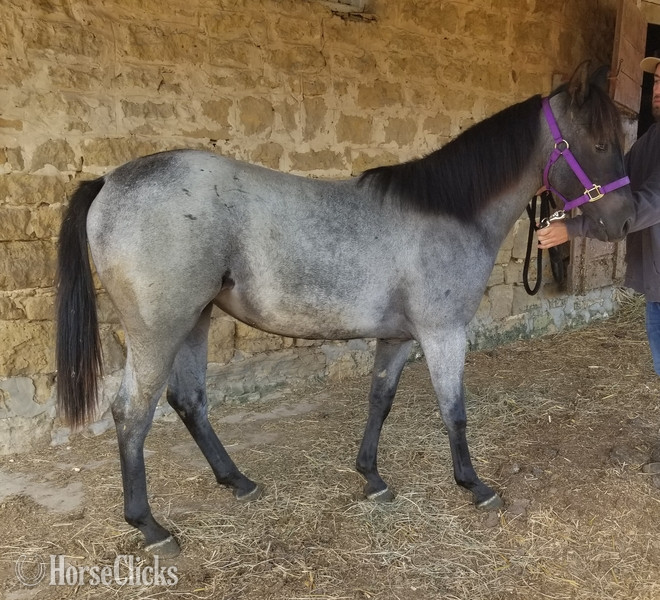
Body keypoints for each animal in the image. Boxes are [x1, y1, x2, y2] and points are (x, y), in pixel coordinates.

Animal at [56, 62, 634, 557]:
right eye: (600, 142)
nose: (624, 221)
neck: (448, 212)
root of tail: (109, 182)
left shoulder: (399, 338)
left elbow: (379, 400)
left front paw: (372, 478)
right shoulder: (444, 333)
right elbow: (455, 412)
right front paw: (474, 485)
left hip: (194, 320)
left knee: (189, 400)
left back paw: (238, 482)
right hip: (159, 330)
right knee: (132, 414)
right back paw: (151, 528)